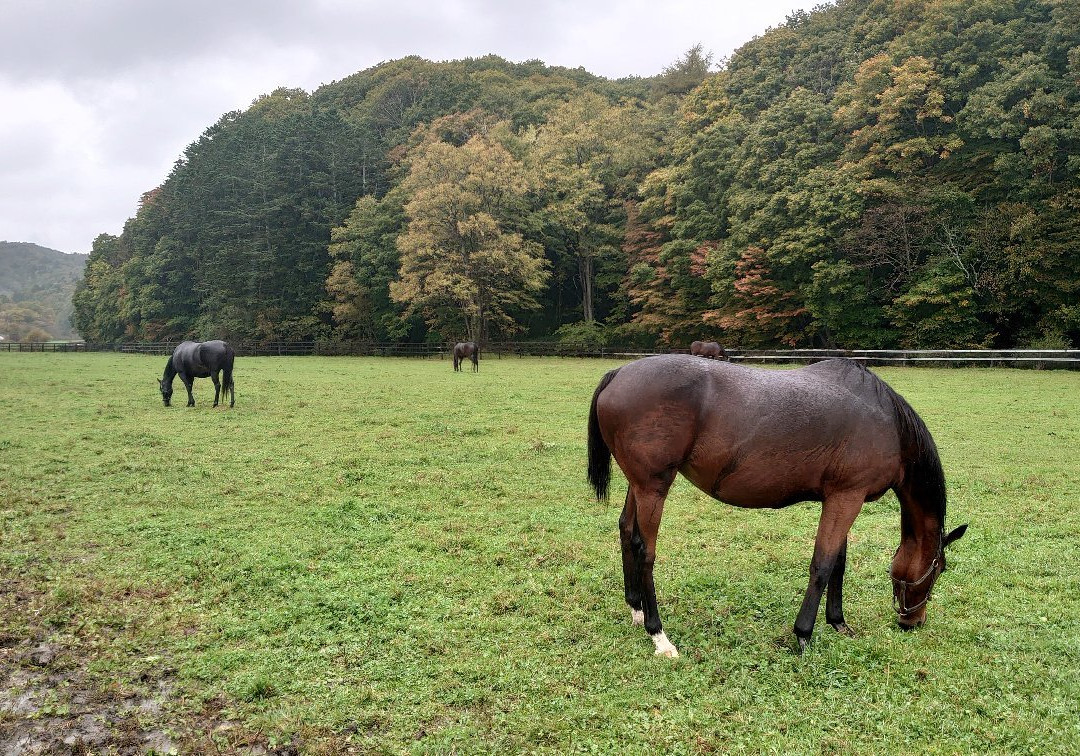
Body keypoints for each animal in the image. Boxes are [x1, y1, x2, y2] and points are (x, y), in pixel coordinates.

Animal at [587, 355, 967, 657]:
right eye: (940, 569)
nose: (914, 621)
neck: (888, 422)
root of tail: (618, 373)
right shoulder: (847, 498)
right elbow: (823, 564)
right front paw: (804, 635)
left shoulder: (842, 497)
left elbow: (839, 563)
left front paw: (838, 623)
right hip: (654, 488)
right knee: (645, 550)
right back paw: (658, 634)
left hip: (640, 486)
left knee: (625, 531)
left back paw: (636, 610)